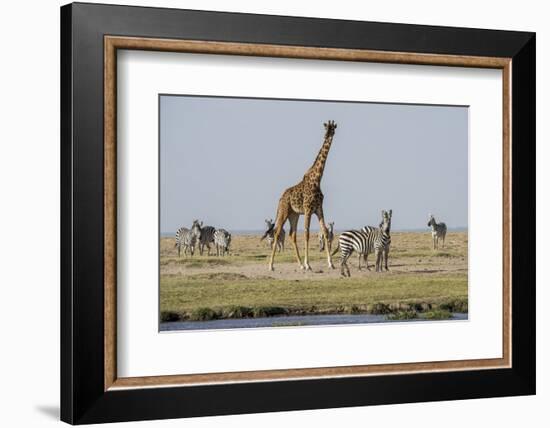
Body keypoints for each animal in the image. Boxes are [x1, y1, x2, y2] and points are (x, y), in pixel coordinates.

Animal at [268, 120, 336, 270]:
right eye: (326, 128)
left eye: (332, 129)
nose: (327, 135)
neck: (317, 179)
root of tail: (280, 198)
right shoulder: (308, 209)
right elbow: (306, 233)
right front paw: (308, 264)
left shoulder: (319, 209)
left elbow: (325, 231)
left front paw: (331, 263)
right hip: (284, 211)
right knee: (277, 231)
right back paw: (271, 265)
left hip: (294, 214)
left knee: (292, 234)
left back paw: (299, 264)